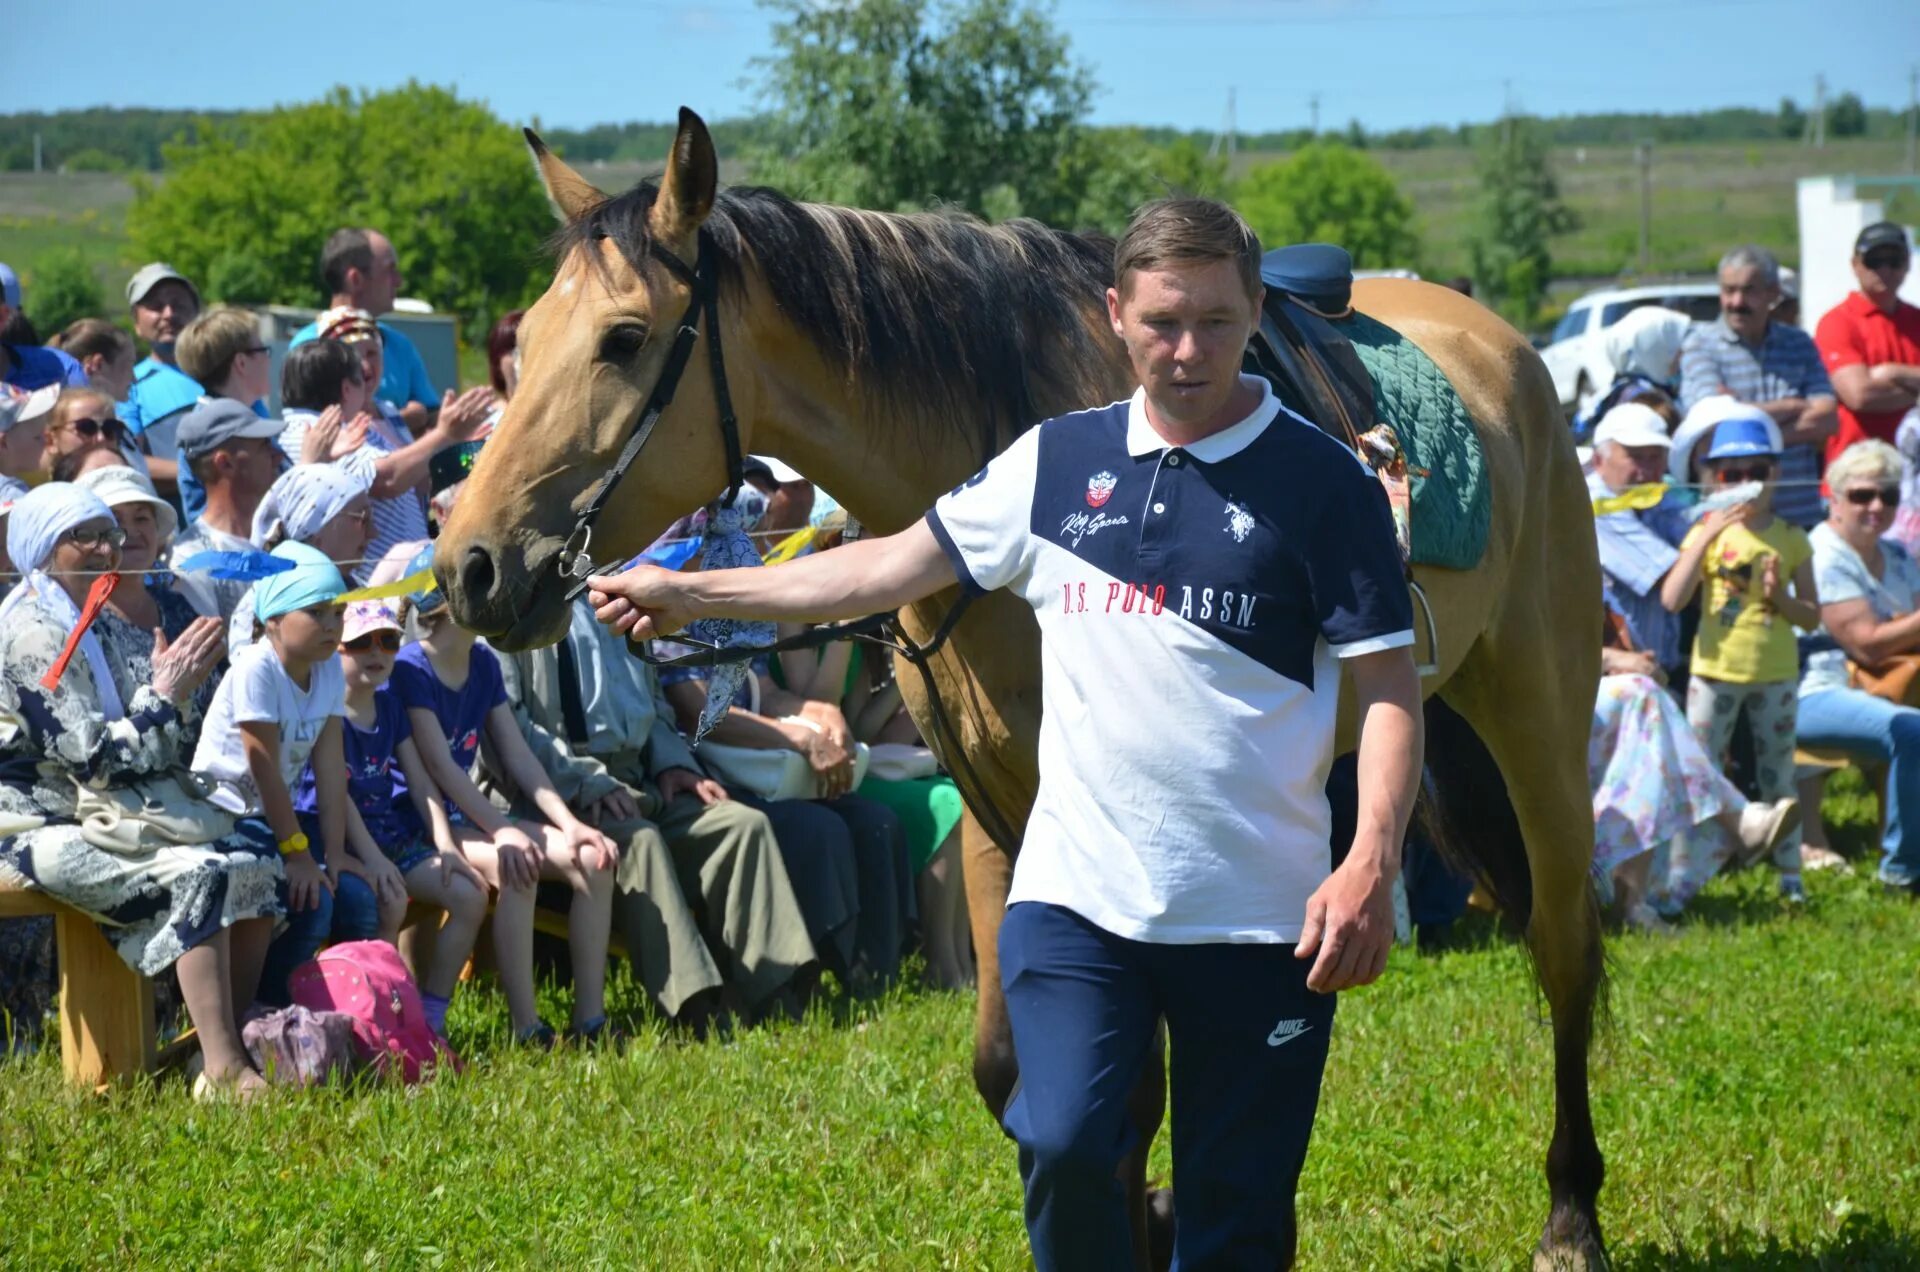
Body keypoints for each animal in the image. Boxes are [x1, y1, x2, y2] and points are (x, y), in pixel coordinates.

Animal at [435, 111, 1605, 1272]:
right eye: (528, 339)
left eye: (624, 339)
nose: (467, 567)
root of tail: (1503, 350)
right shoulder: (1007, 807)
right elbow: (1030, 1074)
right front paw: (1146, 1216)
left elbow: (1132, 1086)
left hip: (1541, 719)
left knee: (1565, 947)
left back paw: (1570, 1214)